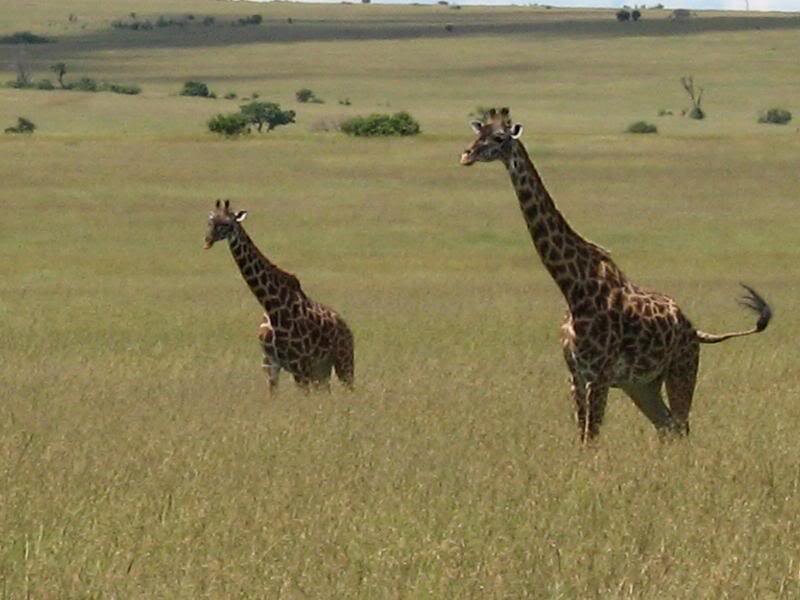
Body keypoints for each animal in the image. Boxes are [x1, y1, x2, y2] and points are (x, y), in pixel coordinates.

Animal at [204, 200, 354, 393]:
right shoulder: (270, 364)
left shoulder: (299, 364)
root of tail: (347, 328)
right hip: (322, 369)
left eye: (227, 224)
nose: (207, 241)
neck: (270, 305)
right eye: (210, 221)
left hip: (343, 362)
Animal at [460, 108, 772, 442]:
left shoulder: (598, 374)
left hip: (682, 368)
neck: (573, 287)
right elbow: (582, 438)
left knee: (681, 425)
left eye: (499, 137)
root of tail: (696, 330)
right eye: (479, 132)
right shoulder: (575, 375)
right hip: (642, 385)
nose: (466, 155)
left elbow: (591, 438)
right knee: (667, 426)